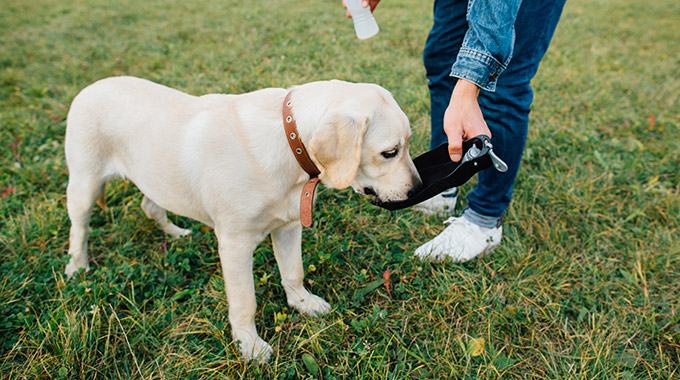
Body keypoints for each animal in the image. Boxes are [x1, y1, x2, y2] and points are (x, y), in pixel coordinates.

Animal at [65, 75, 424, 360]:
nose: (419, 189)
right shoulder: (235, 245)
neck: (288, 143)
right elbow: (245, 302)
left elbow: (293, 272)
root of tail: (92, 86)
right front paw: (249, 345)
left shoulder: (288, 227)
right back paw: (77, 267)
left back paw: (175, 233)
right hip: (84, 184)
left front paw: (302, 303)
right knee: (79, 229)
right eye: (390, 152)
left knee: (151, 206)